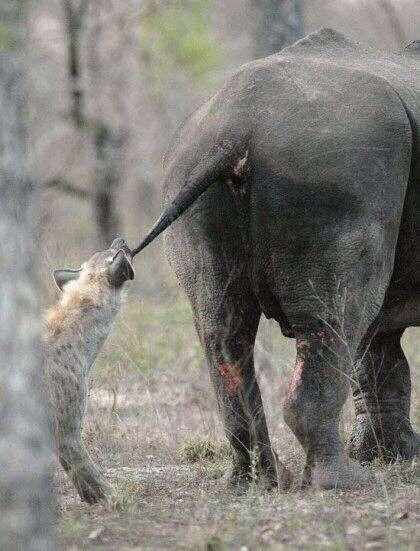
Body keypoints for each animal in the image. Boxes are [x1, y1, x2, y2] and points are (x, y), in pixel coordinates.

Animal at [133, 28, 418, 490]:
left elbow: (379, 352)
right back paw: (341, 481)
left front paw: (396, 456)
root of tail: (235, 131)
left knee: (222, 328)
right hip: (334, 164)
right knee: (337, 317)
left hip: (185, 167)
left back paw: (258, 481)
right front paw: (390, 460)